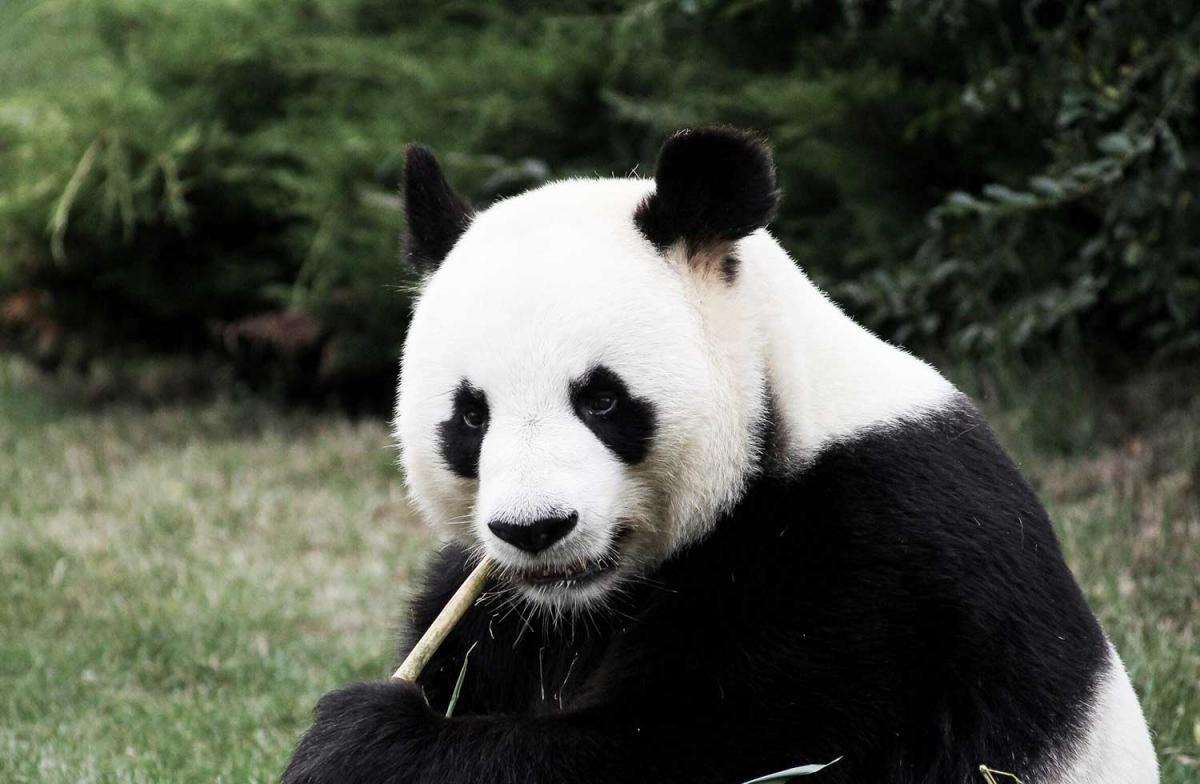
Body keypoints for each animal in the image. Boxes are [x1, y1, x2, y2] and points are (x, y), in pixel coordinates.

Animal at [282, 128, 1158, 784]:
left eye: (602, 400)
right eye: (470, 417)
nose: (536, 529)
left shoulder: (875, 565)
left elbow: (706, 748)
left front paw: (362, 741)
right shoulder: (497, 606)